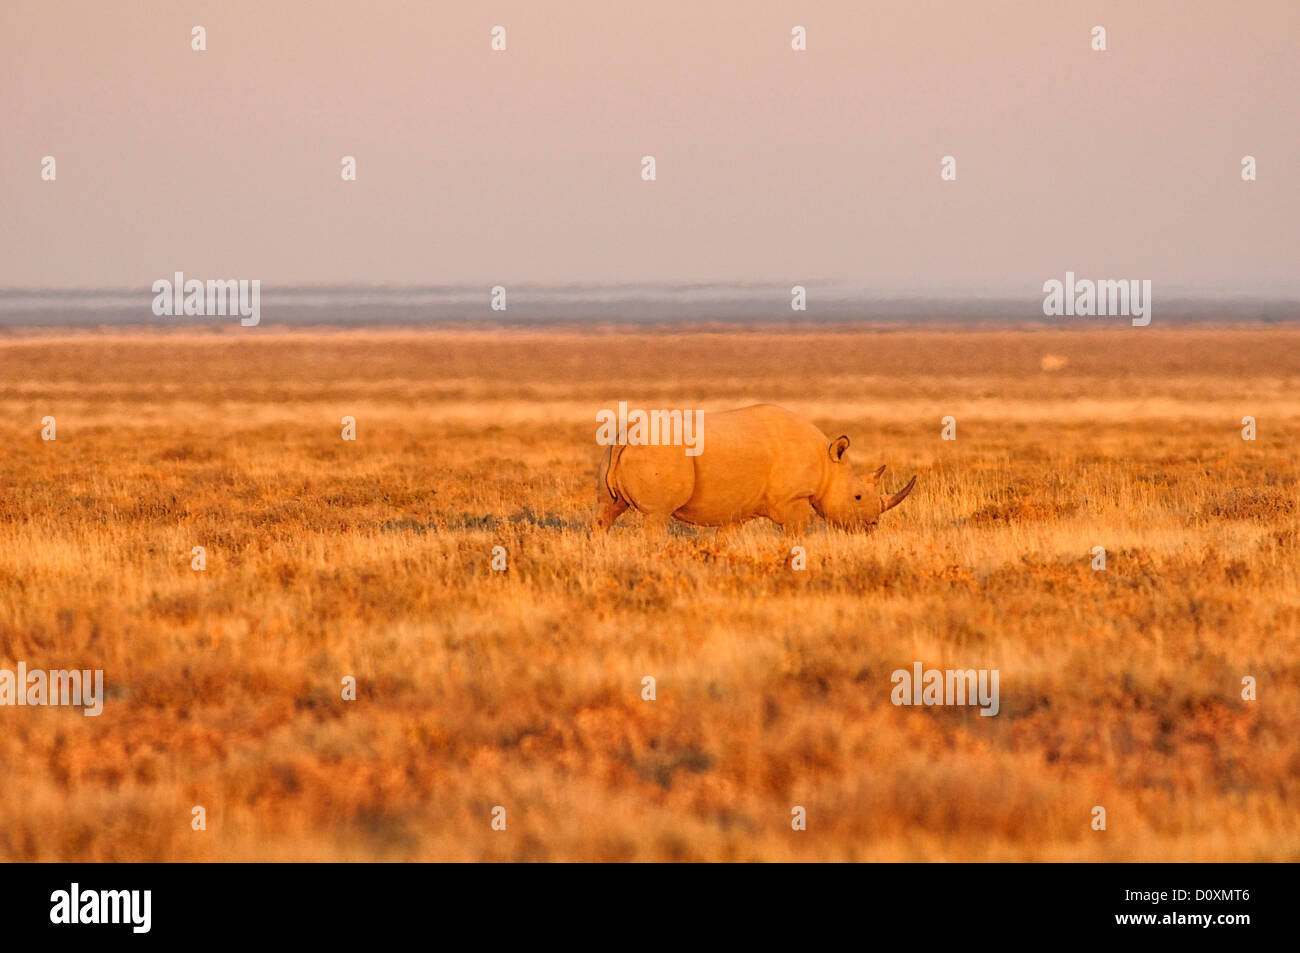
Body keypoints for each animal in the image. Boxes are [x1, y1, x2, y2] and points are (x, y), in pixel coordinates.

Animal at [595, 403, 920, 535]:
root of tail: (628, 434)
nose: (872, 527)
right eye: (857, 497)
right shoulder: (794, 498)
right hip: (660, 453)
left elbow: (726, 538)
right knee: (657, 515)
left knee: (607, 509)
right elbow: (797, 534)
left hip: (612, 449)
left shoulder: (736, 508)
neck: (828, 464)